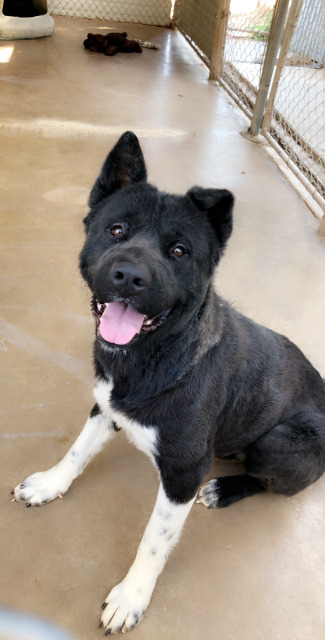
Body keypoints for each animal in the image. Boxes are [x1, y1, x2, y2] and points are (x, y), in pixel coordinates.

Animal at [12, 130, 324, 636]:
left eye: (179, 251)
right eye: (117, 230)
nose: (128, 277)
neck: (152, 357)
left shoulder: (184, 474)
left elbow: (152, 541)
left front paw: (131, 597)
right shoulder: (105, 407)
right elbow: (77, 452)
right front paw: (49, 484)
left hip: (279, 443)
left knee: (272, 481)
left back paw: (225, 489)